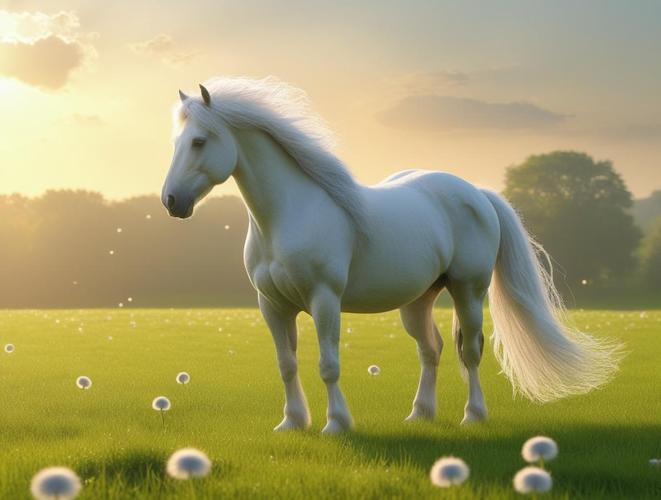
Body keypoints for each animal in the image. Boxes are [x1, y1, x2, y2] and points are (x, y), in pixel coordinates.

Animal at [161, 77, 620, 433]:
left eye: (199, 141)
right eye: (178, 143)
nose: (171, 201)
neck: (288, 215)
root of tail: (476, 192)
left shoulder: (324, 300)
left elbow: (328, 364)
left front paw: (336, 423)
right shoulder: (272, 305)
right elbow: (286, 364)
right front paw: (292, 422)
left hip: (468, 292)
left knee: (469, 352)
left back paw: (473, 415)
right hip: (418, 302)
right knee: (431, 350)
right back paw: (420, 415)